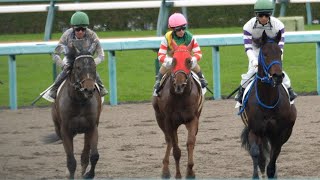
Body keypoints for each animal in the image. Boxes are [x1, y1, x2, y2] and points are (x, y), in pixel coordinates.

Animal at [151, 39, 204, 179]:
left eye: (189, 60)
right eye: (174, 60)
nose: (179, 85)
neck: (180, 98)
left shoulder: (192, 119)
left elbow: (190, 143)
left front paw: (190, 172)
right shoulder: (169, 122)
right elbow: (176, 150)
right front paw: (178, 174)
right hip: (160, 118)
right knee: (169, 140)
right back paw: (165, 170)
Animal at [240, 30, 298, 179]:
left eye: (279, 52)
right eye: (265, 53)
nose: (277, 76)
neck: (268, 101)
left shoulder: (279, 133)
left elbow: (273, 159)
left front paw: (271, 172)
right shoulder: (254, 130)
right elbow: (256, 153)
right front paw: (257, 174)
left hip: (285, 132)